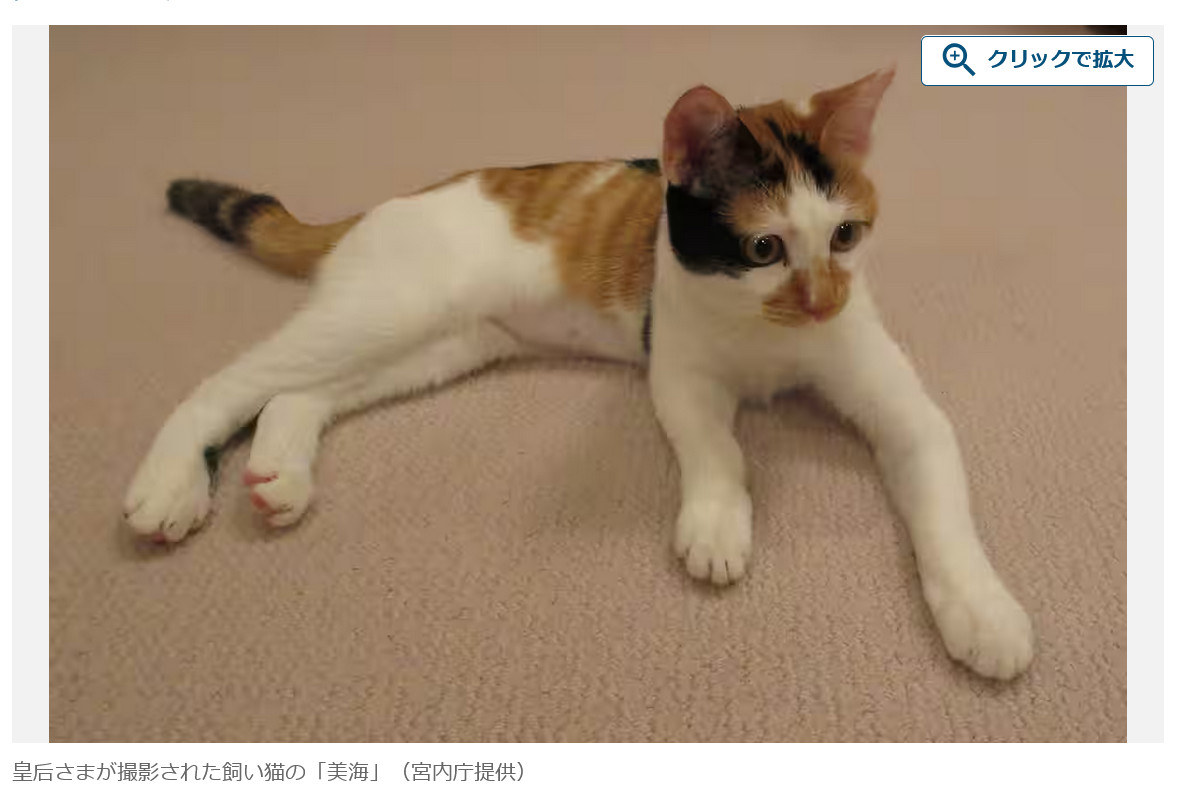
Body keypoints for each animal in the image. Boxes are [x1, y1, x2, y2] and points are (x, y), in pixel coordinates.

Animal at [123, 67, 1034, 680]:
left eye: (846, 234)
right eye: (762, 247)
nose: (820, 303)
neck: (771, 337)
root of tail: (390, 203)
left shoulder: (902, 406)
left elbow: (942, 503)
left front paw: (983, 611)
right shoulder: (679, 374)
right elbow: (719, 450)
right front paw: (717, 525)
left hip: (433, 345)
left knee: (293, 393)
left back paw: (278, 476)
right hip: (386, 311)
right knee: (228, 382)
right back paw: (169, 485)